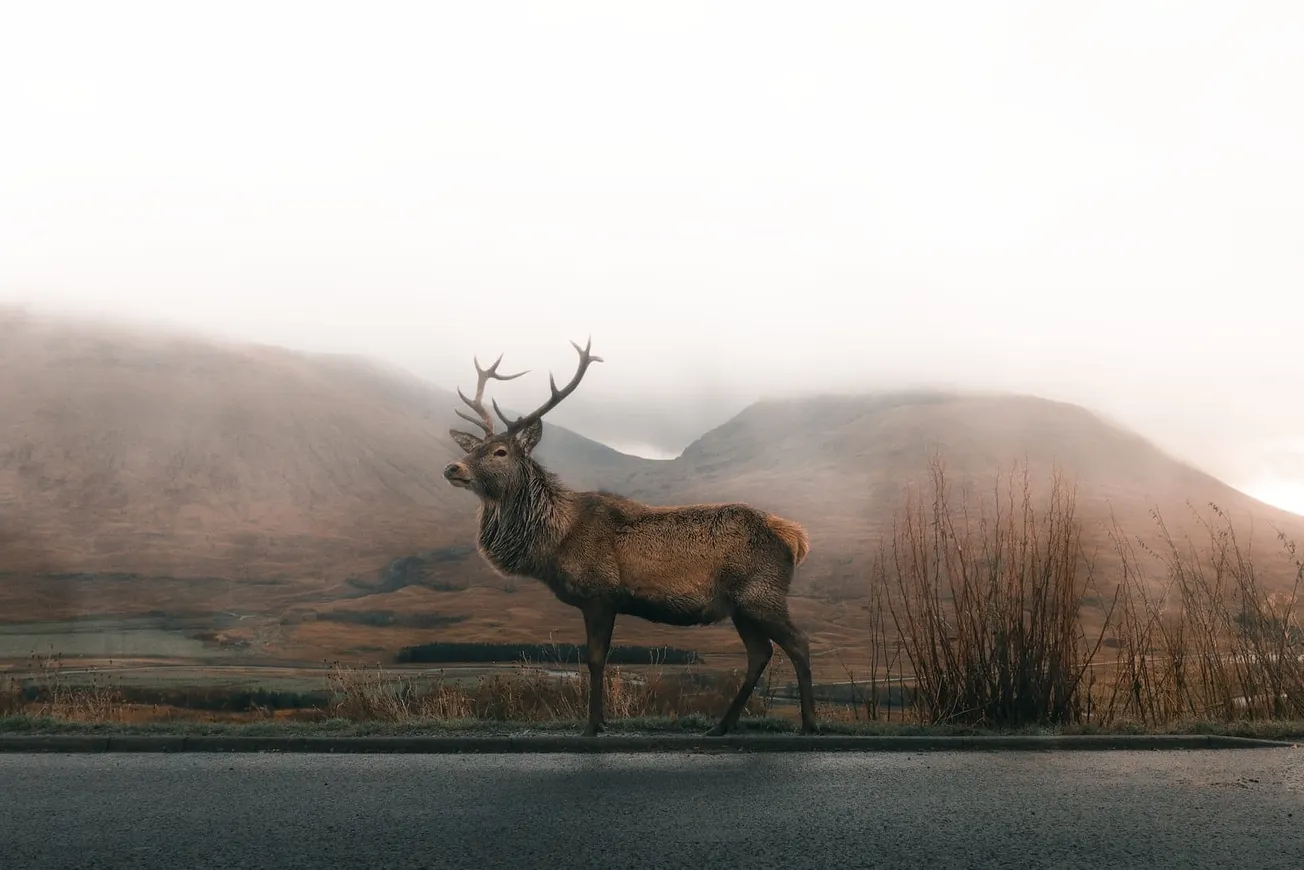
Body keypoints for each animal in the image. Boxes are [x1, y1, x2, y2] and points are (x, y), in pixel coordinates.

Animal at [442, 338, 818, 737]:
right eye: (471, 448)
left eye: (500, 452)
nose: (452, 467)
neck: (554, 542)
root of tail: (795, 538)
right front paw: (601, 720)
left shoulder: (601, 594)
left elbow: (594, 660)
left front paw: (592, 726)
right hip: (740, 606)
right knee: (761, 653)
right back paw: (721, 726)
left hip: (762, 594)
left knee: (798, 642)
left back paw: (809, 722)